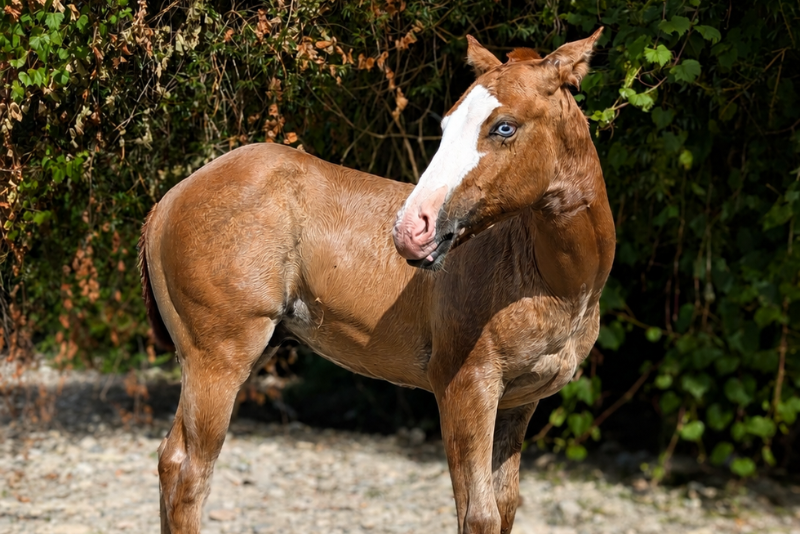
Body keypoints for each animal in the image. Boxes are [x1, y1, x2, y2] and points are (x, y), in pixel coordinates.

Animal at [139, 28, 614, 534]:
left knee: (170, 459)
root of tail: (167, 201)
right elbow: (478, 515)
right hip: (217, 360)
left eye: (504, 127)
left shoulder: (519, 404)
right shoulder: (465, 387)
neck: (553, 282)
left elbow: (503, 507)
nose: (410, 227)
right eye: (446, 126)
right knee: (190, 474)